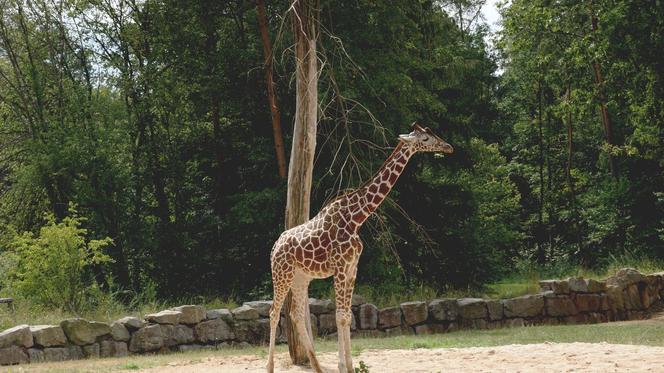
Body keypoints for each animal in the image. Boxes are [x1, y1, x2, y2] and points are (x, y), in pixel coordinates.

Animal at [268, 122, 454, 372]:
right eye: (425, 139)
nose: (448, 146)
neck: (357, 218)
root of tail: (274, 247)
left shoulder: (352, 268)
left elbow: (347, 316)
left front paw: (350, 366)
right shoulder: (339, 267)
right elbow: (339, 316)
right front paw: (342, 366)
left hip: (301, 277)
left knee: (295, 314)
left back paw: (317, 367)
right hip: (282, 274)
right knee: (274, 312)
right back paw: (270, 367)